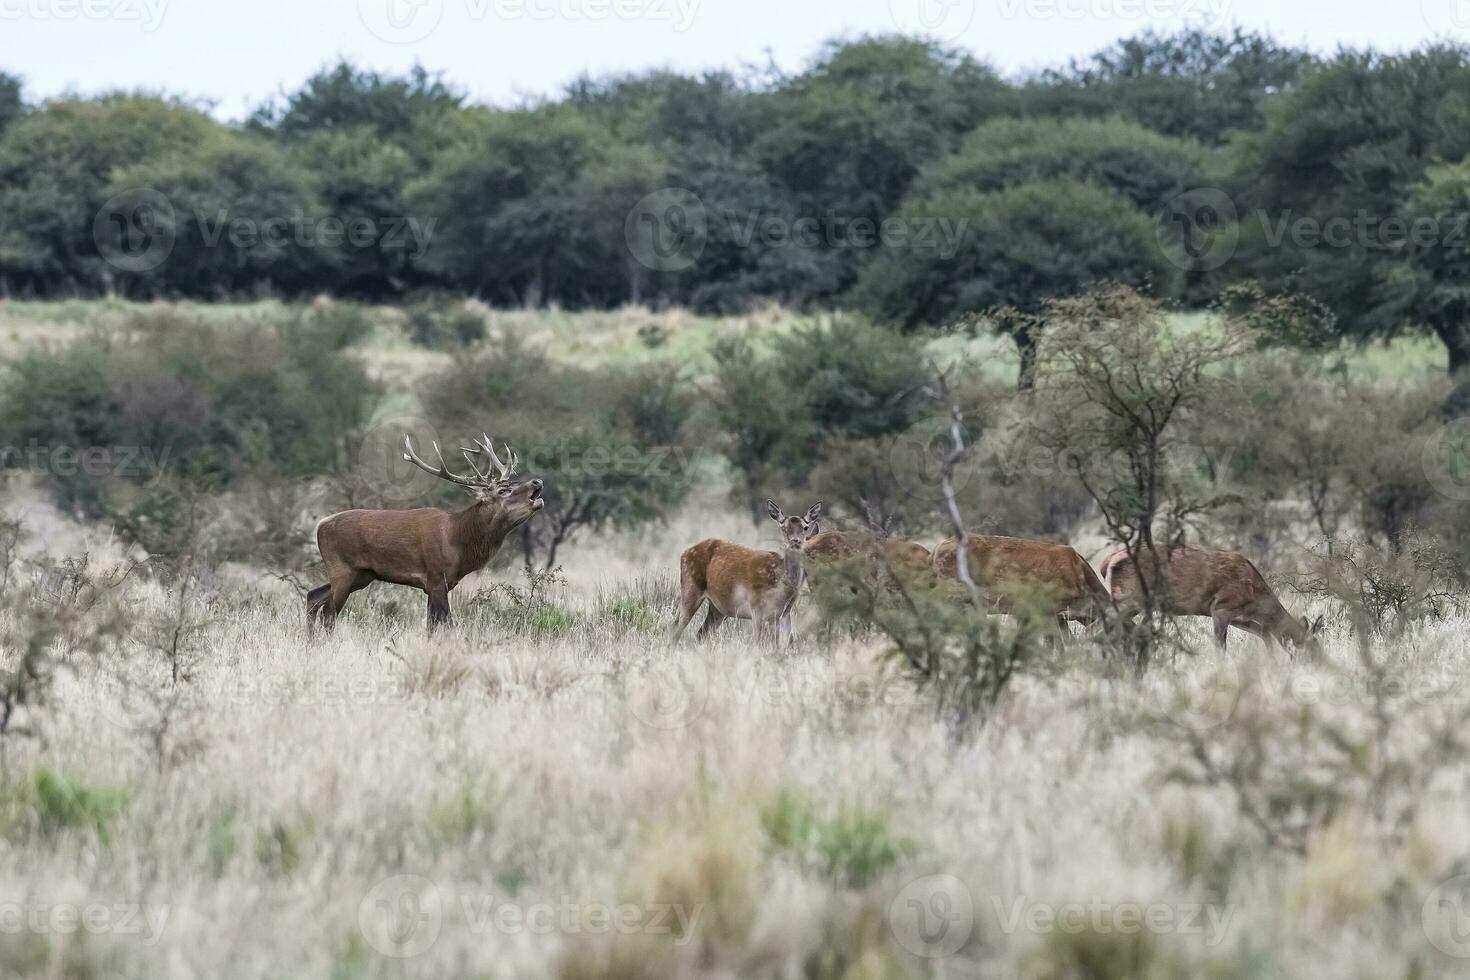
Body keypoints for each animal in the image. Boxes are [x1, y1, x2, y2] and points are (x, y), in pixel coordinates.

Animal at [308, 431, 546, 631]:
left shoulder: (438, 584)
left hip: (362, 575)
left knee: (313, 596)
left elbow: (432, 625)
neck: (458, 541)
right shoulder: (436, 577)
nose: (537, 481)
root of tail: (320, 525)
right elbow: (446, 623)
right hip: (341, 568)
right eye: (504, 490)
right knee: (328, 612)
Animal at [670, 499, 823, 643]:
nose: (795, 541)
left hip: (717, 607)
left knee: (701, 632)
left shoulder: (780, 615)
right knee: (676, 628)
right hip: (690, 588)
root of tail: (684, 553)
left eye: (805, 527)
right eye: (783, 527)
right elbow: (757, 642)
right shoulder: (757, 607)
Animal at [1099, 543, 1328, 652]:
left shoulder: (1237, 615)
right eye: (1310, 649)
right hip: (1127, 598)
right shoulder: (1222, 607)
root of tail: (1107, 561)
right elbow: (1220, 646)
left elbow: (1264, 633)